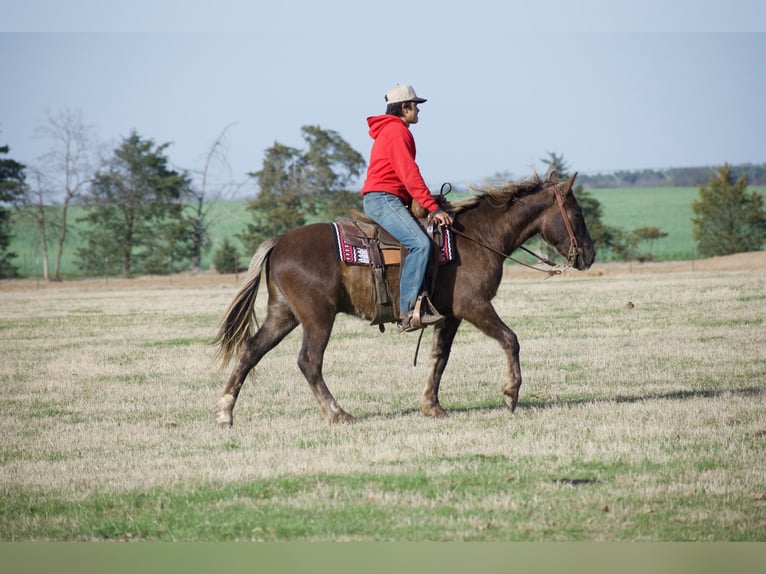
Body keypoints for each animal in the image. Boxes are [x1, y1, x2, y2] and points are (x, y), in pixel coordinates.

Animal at [212, 171, 595, 427]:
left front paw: (431, 406)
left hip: (283, 314)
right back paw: (338, 413)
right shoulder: (475, 306)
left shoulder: (450, 315)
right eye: (577, 214)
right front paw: (511, 393)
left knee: (250, 350)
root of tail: (279, 241)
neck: (477, 238)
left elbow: (439, 357)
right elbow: (510, 339)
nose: (589, 255)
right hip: (318, 317)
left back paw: (225, 412)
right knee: (309, 361)